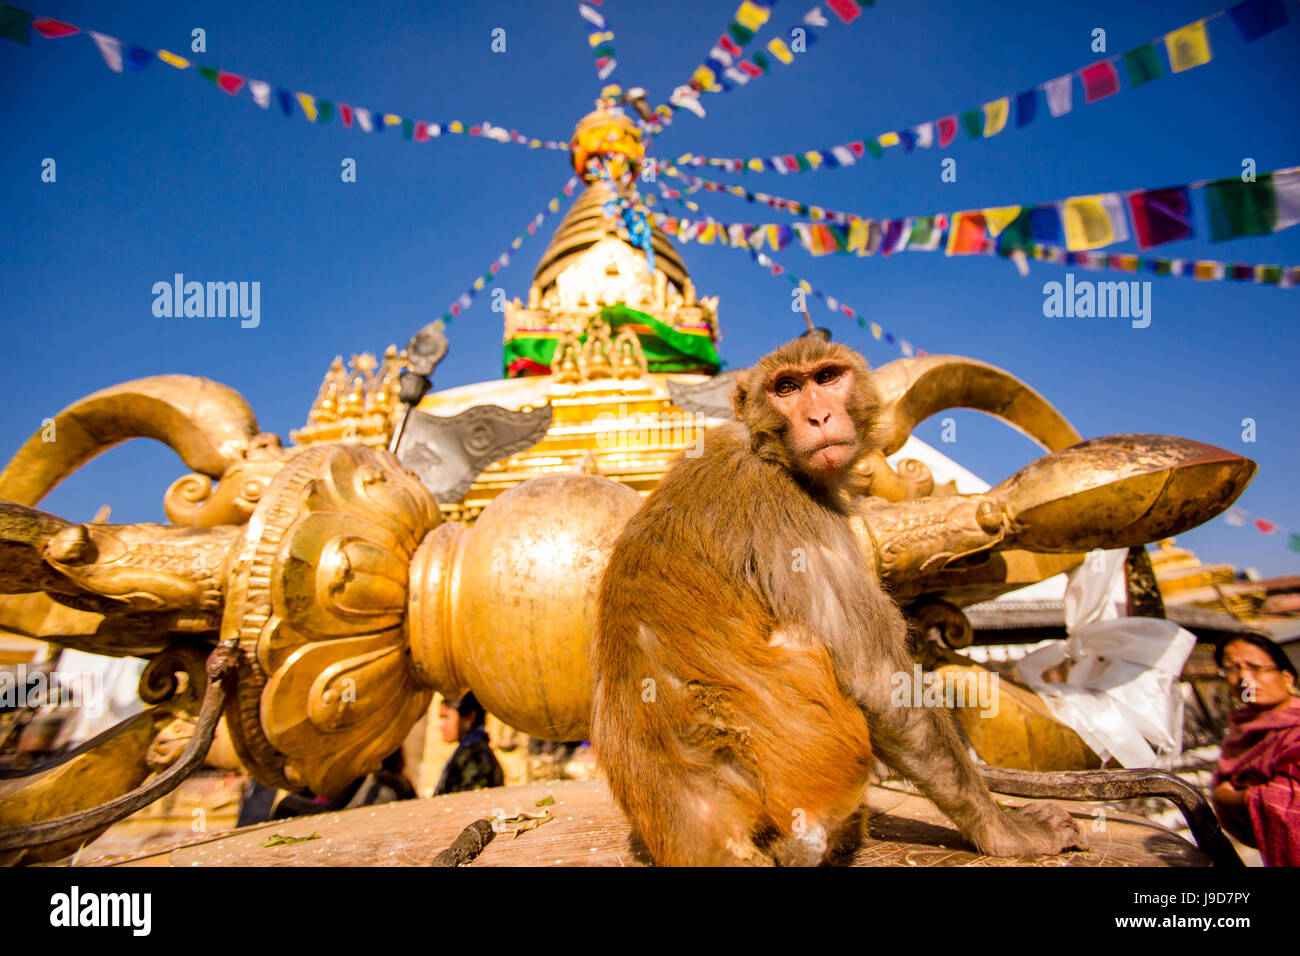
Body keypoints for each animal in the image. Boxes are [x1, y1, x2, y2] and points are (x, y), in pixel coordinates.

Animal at [591, 335, 1088, 866]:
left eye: (827, 377)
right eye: (786, 388)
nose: (818, 417)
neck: (767, 449)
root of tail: (701, 829)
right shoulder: (793, 507)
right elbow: (877, 681)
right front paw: (1004, 831)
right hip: (817, 769)